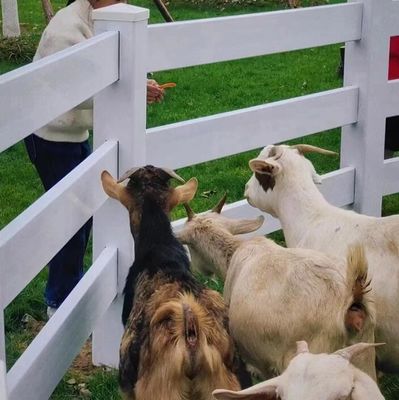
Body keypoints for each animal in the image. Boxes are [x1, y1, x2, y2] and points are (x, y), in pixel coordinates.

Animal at [178, 202, 378, 380]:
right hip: (364, 354)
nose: (196, 269)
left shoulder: (259, 356)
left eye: (190, 247)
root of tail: (351, 299)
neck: (234, 252)